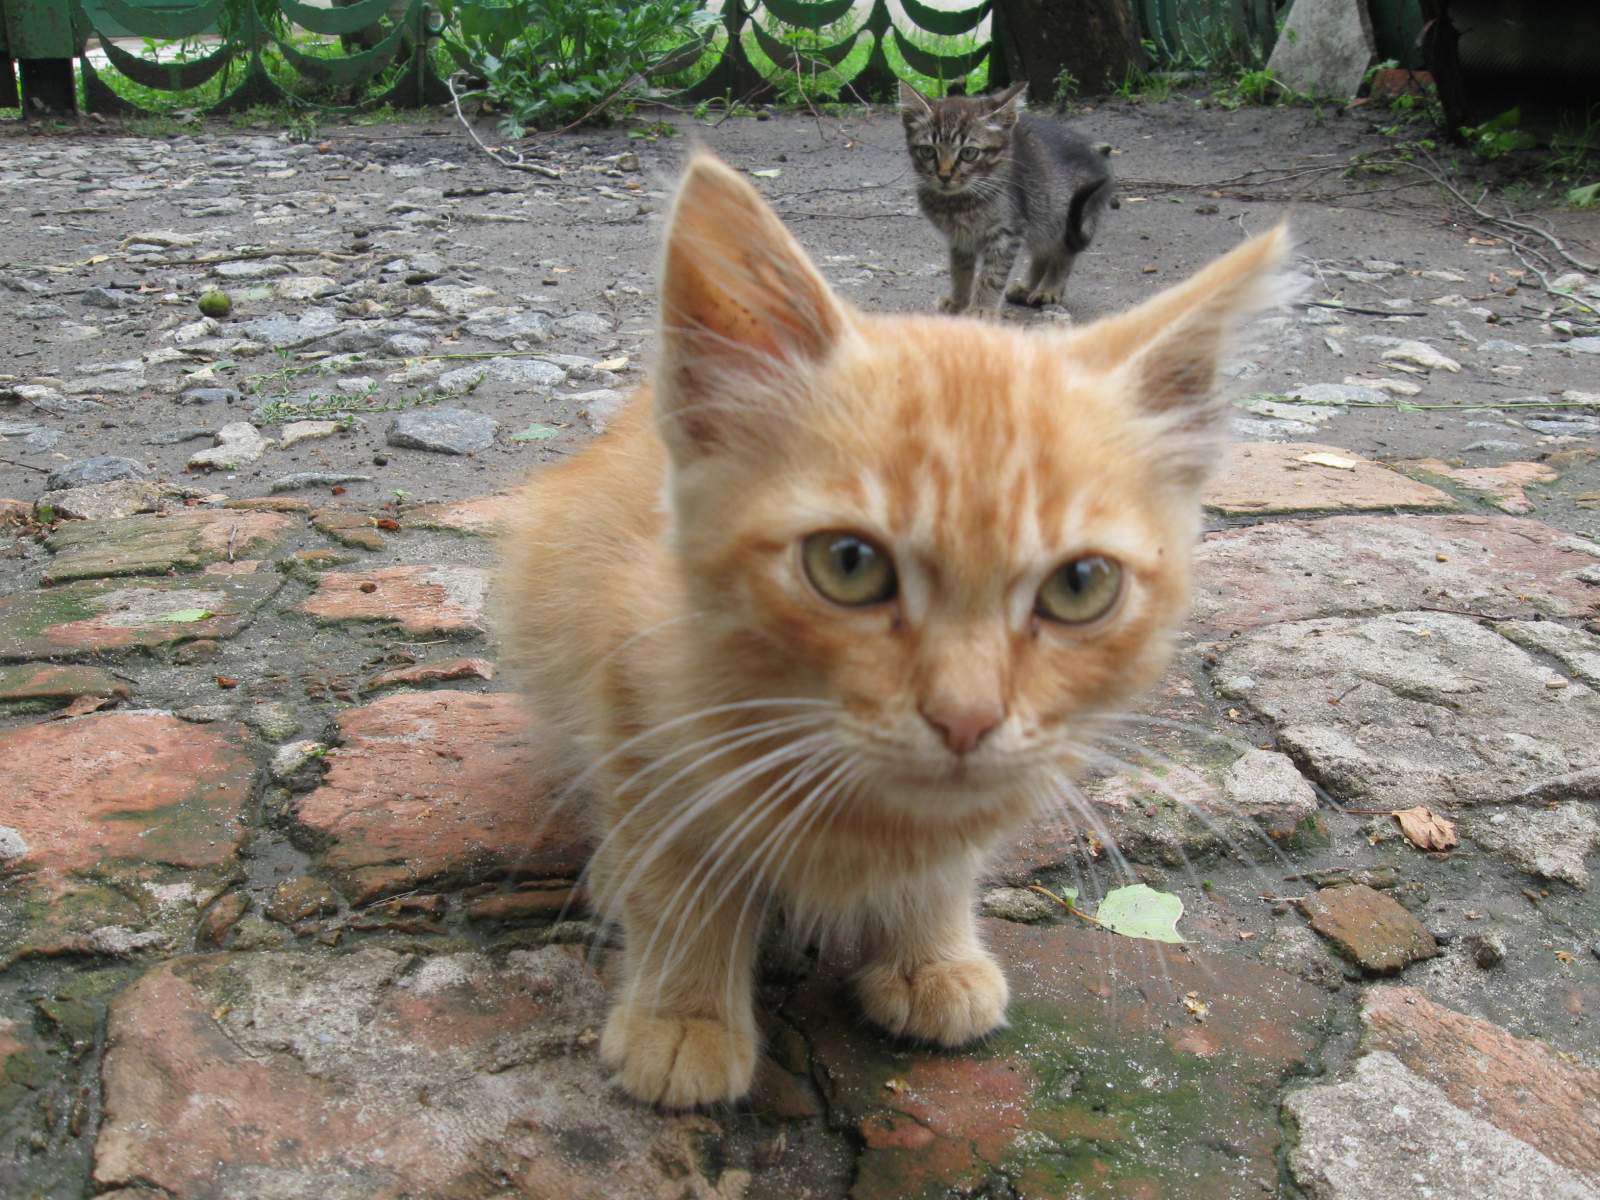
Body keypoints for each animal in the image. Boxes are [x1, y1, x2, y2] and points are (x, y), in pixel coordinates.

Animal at [497, 147, 1288, 1109]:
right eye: (849, 564)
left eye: (1080, 585)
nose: (967, 717)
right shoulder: (632, 690)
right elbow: (676, 871)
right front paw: (682, 1015)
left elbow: (941, 866)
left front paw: (928, 954)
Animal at [900, 81, 1113, 315]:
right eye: (928, 151)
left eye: (968, 153)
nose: (944, 176)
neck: (958, 202)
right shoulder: (960, 239)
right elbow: (960, 270)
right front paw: (959, 302)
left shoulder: (1007, 233)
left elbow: (992, 276)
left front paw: (981, 309)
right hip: (1042, 216)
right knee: (1041, 252)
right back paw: (1026, 287)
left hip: (1065, 216)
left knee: (1063, 252)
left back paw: (1049, 289)